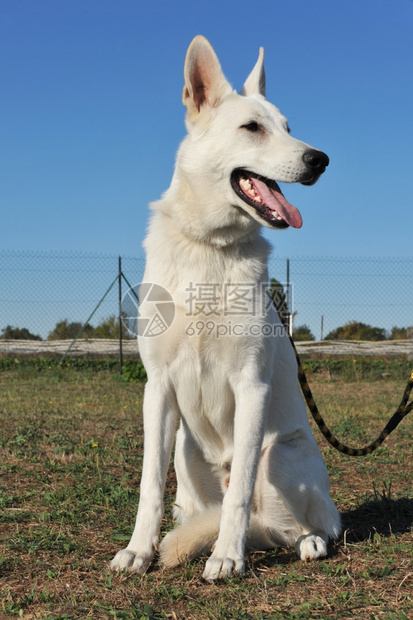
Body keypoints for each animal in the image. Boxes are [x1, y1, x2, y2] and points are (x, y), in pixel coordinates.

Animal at [111, 35, 340, 580]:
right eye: (252, 128)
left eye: (288, 128)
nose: (320, 159)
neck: (210, 248)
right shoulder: (157, 388)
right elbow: (149, 486)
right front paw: (138, 549)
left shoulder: (251, 384)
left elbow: (237, 499)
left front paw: (226, 557)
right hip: (185, 452)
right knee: (205, 511)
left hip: (280, 454)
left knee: (296, 525)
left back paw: (307, 542)